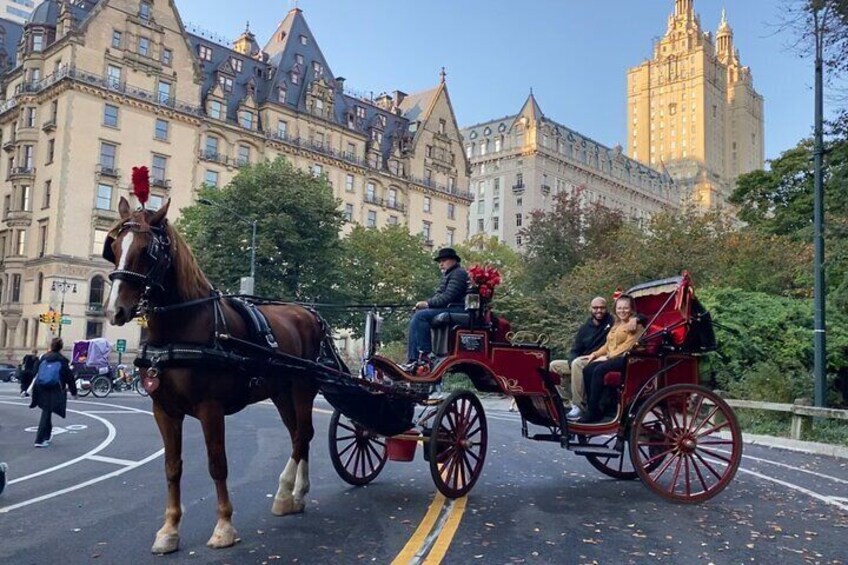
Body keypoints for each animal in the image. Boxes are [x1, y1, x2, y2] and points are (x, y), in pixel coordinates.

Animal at [100, 197, 324, 552]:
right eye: (115, 246)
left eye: (149, 250)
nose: (114, 310)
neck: (183, 326)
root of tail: (308, 313)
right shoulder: (164, 410)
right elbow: (172, 467)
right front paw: (169, 530)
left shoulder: (210, 407)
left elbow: (217, 464)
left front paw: (224, 527)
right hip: (280, 392)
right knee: (298, 435)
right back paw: (296, 495)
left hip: (303, 387)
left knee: (302, 435)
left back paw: (285, 492)